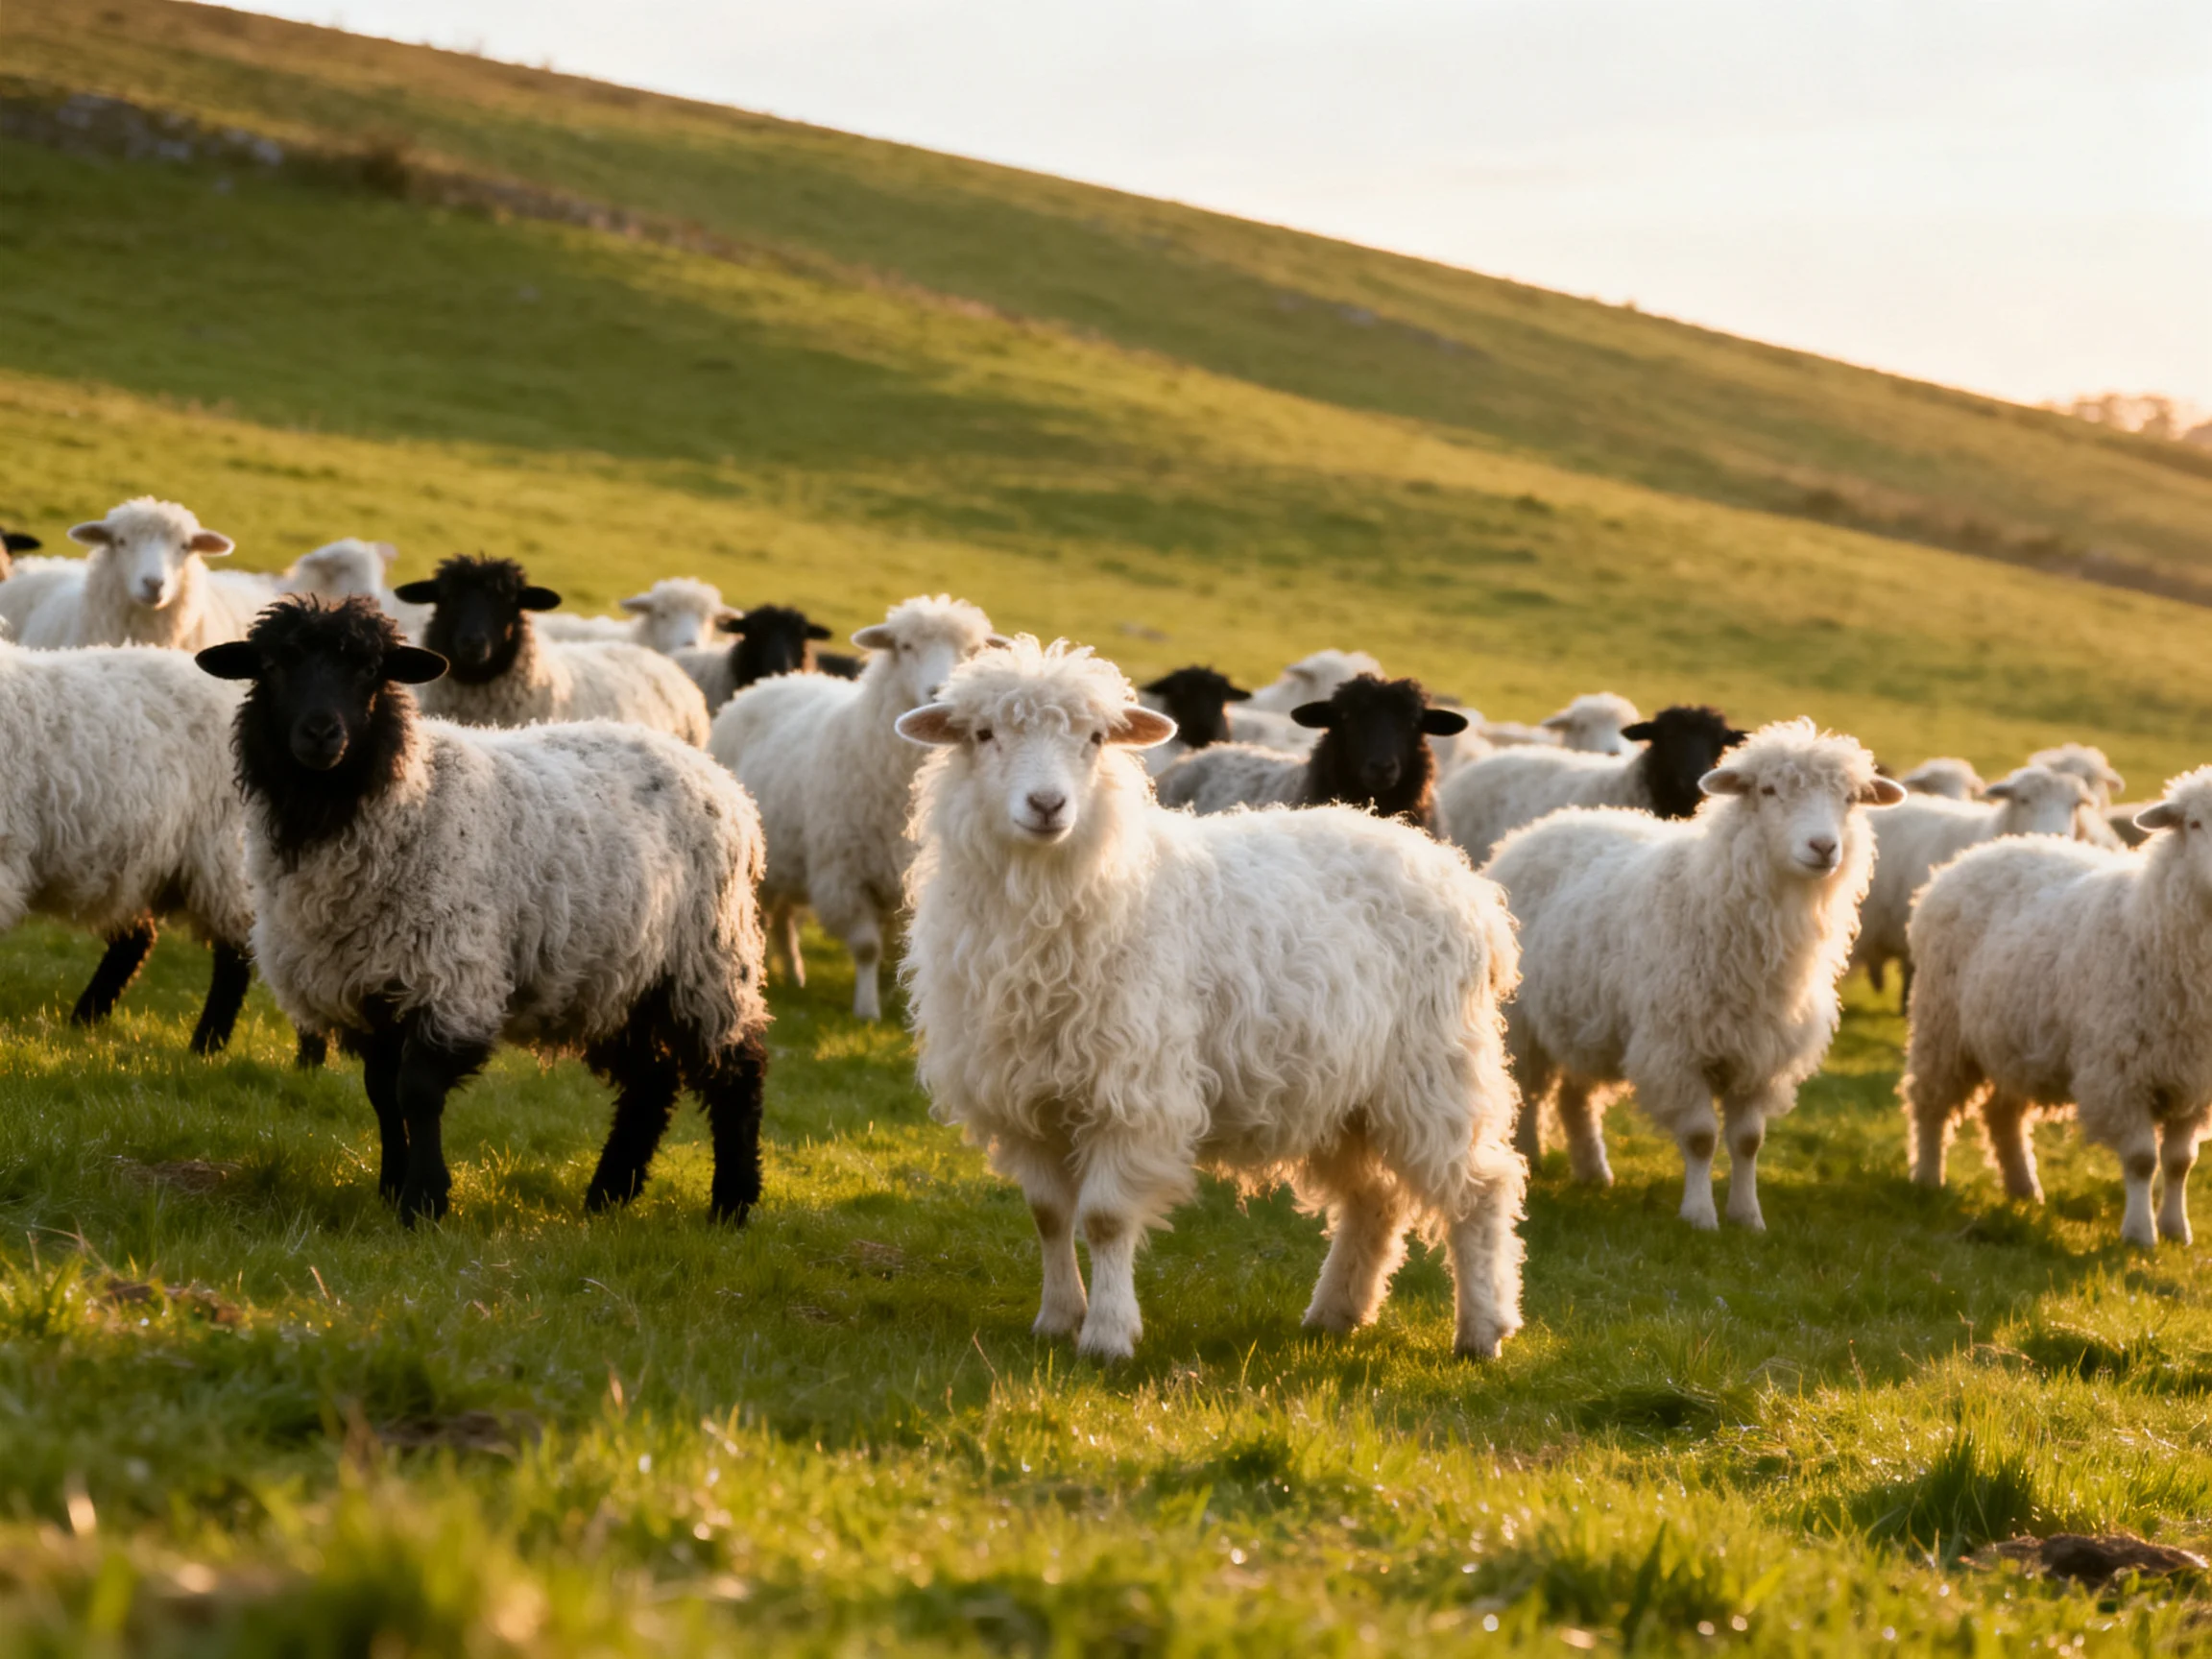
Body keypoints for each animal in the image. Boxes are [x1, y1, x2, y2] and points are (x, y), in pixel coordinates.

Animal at [0, 637, 256, 1053]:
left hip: (226, 856)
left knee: (240, 953)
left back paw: (208, 1048)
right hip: (137, 864)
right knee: (137, 940)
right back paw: (84, 1022)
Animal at [196, 597, 772, 1225]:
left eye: (370, 670)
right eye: (273, 666)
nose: (322, 733)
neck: (400, 796)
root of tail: (720, 777)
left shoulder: (447, 973)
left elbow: (417, 1092)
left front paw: (423, 1200)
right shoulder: (365, 983)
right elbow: (381, 1092)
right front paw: (392, 1184)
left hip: (708, 957)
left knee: (737, 1071)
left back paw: (732, 1204)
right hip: (620, 974)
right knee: (651, 1081)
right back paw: (606, 1197)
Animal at [709, 593, 1005, 1020]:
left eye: (972, 651)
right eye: (905, 646)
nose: (939, 692)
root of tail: (776, 679)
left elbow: (900, 948)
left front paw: (899, 999)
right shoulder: (847, 871)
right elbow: (867, 947)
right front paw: (867, 1009)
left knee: (784, 919)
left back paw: (795, 975)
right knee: (763, 918)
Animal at [1484, 720, 1905, 1228]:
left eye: (1850, 798)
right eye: (1768, 790)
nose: (1824, 847)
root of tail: (1545, 825)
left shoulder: (1759, 1054)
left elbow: (1748, 1141)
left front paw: (1747, 1217)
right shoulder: (1678, 1048)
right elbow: (1702, 1137)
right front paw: (1700, 1216)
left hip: (1584, 1019)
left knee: (1575, 1097)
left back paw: (1593, 1171)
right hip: (1521, 1019)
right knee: (1527, 1091)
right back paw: (1531, 1155)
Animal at [1901, 769, 2212, 1247]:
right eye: (2194, 824)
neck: (2148, 918)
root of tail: (1976, 854)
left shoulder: (2194, 1081)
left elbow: (2181, 1161)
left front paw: (2177, 1231)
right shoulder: (2120, 1072)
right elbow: (2142, 1159)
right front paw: (2139, 1234)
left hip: (2008, 1037)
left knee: (2002, 1116)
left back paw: (2023, 1188)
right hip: (1942, 1025)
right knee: (1930, 1103)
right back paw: (1929, 1177)